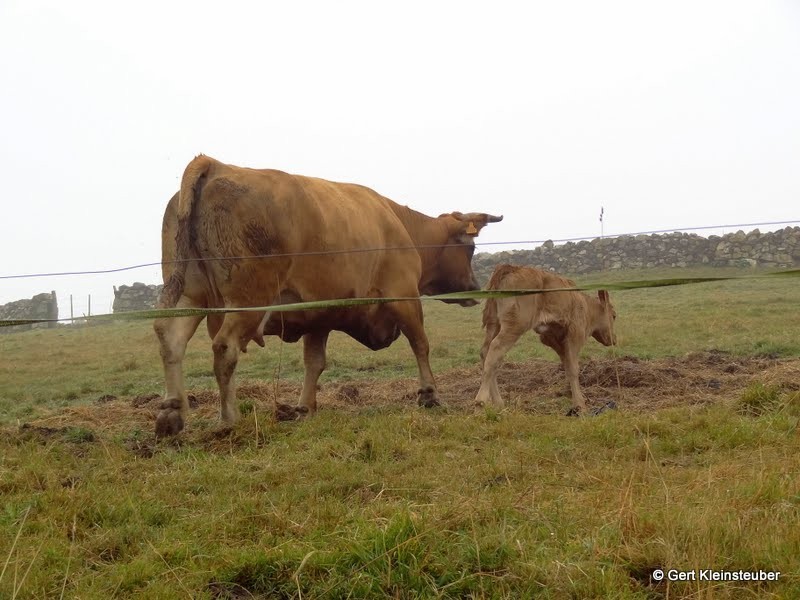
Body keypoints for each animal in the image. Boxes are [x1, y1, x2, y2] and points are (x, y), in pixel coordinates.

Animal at [153, 155, 500, 436]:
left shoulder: (318, 315)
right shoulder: (403, 296)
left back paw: (172, 411)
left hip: (189, 294)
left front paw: (305, 407)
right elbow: (420, 344)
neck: (400, 225)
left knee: (170, 337)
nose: (474, 287)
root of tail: (216, 165)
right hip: (247, 300)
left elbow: (314, 363)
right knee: (225, 347)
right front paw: (429, 393)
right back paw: (228, 419)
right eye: (470, 249)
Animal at [476, 264, 620, 414]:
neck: (585, 305)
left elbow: (567, 366)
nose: (614, 339)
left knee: (485, 352)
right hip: (514, 326)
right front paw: (580, 405)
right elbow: (573, 369)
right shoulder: (575, 335)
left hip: (493, 323)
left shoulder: (554, 339)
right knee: (495, 350)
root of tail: (510, 268)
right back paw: (480, 403)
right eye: (614, 315)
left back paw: (498, 403)